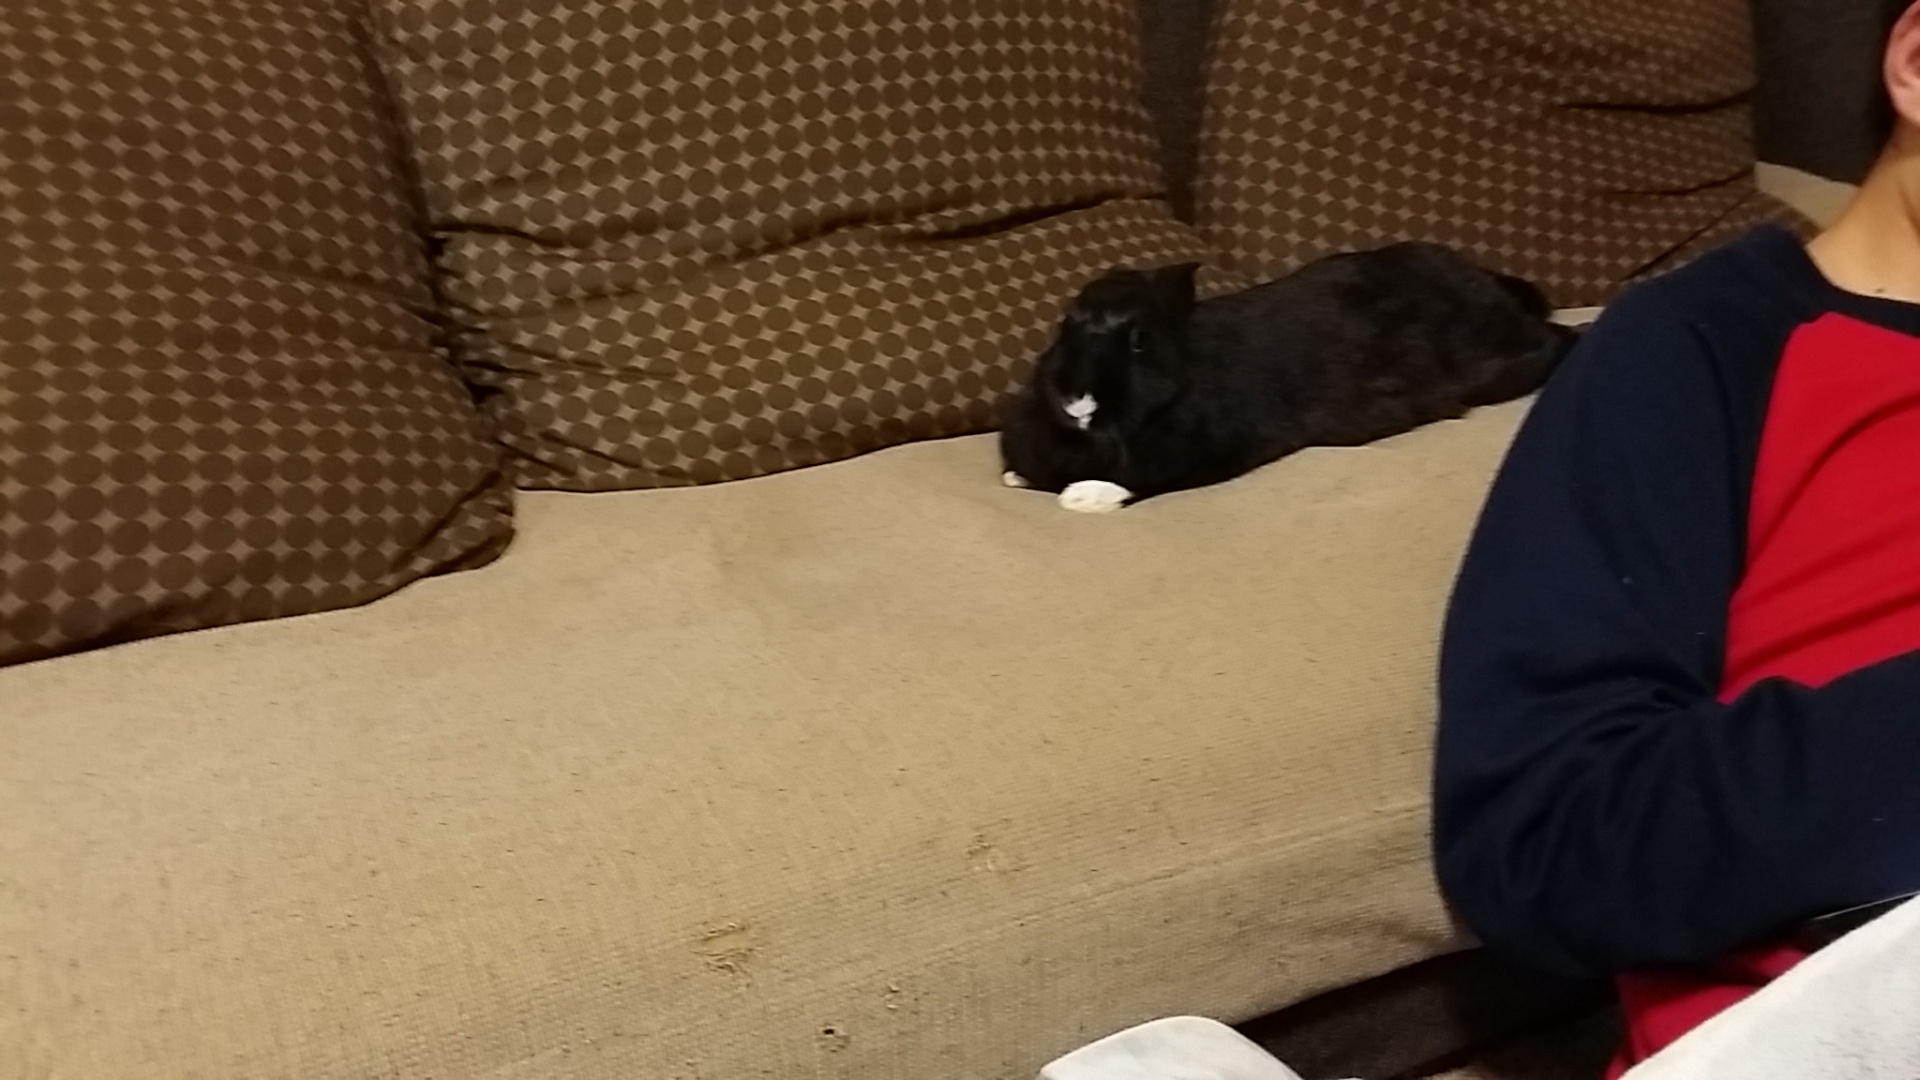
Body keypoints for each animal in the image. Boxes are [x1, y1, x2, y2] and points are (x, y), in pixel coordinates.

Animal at [999, 242, 1577, 513]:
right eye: (1064, 326)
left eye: (1138, 340)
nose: (1078, 401)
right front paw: (1016, 477)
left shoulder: (1204, 457)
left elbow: (1140, 483)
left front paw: (1082, 497)